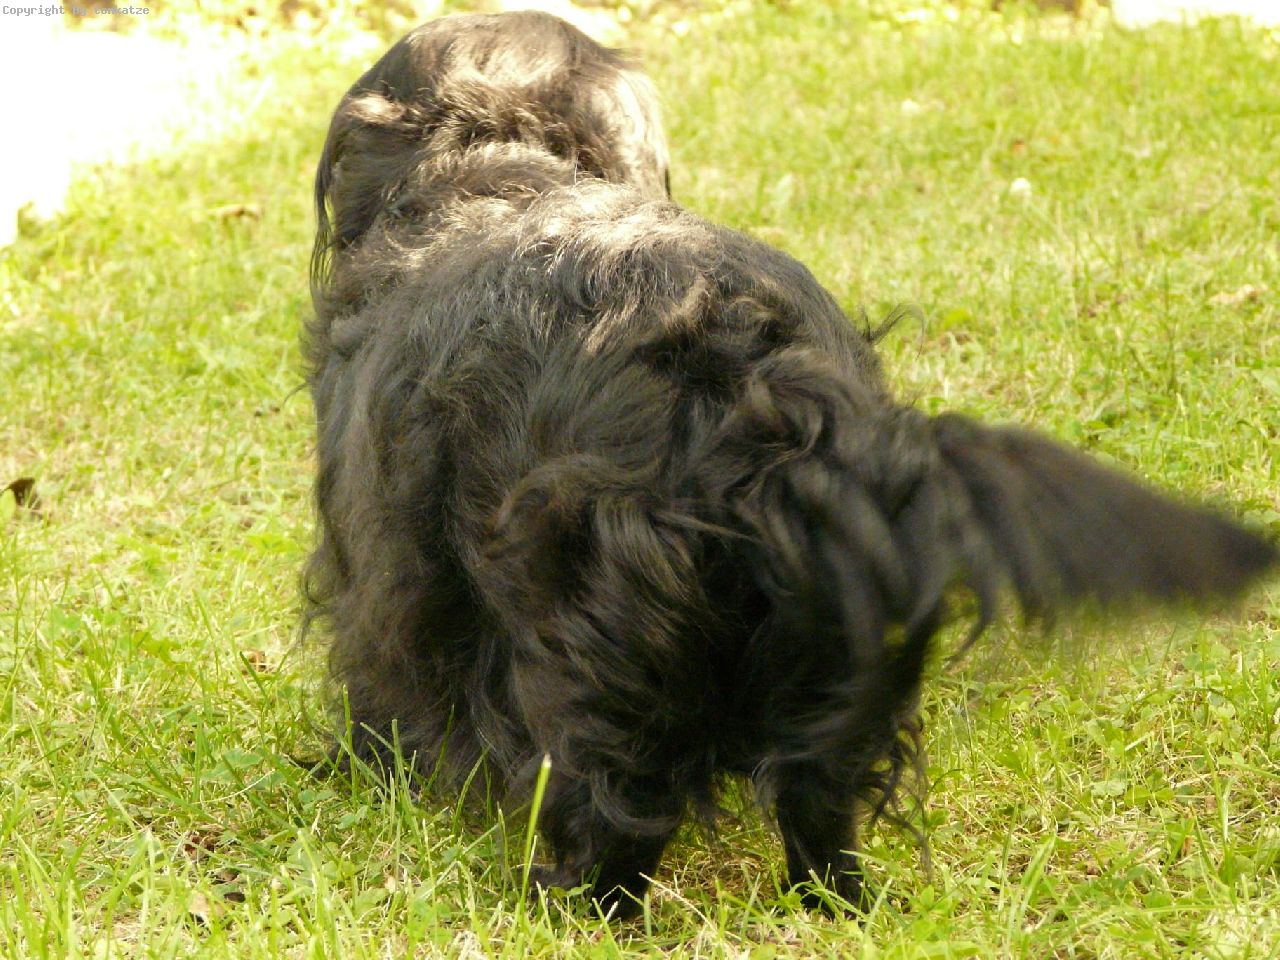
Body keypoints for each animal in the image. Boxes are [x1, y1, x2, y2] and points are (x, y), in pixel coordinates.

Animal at [304, 12, 1277, 918]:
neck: (494, 163)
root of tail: (762, 381)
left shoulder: (383, 567)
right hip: (841, 639)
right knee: (821, 803)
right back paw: (837, 904)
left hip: (596, 645)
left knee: (615, 810)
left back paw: (574, 906)